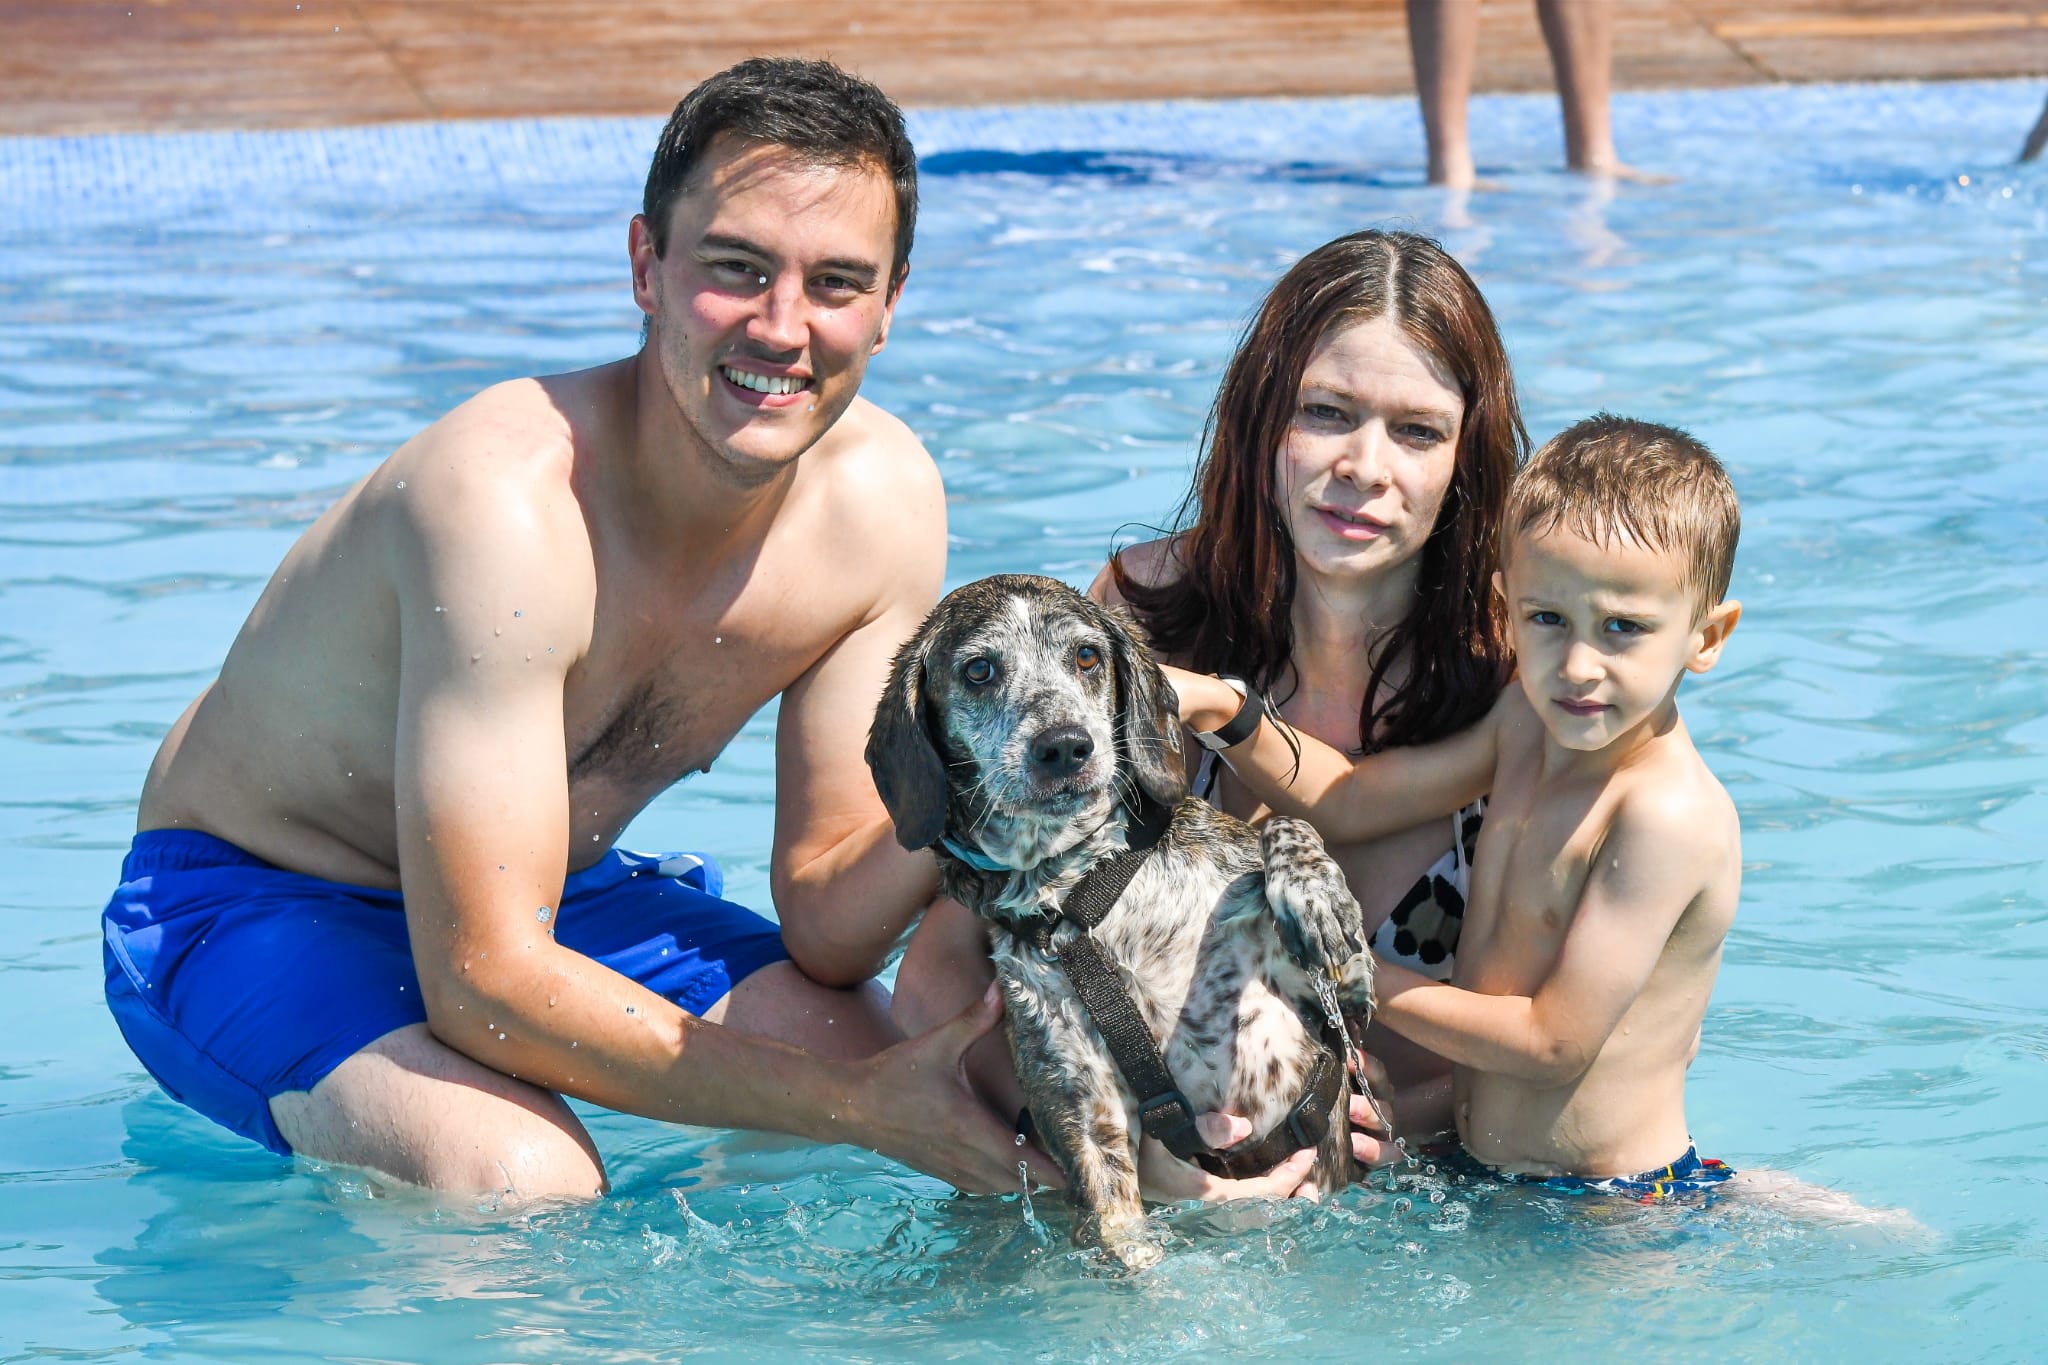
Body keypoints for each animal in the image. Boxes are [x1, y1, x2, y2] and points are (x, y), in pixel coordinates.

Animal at [868, 573, 1376, 1268]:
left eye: (1087, 656)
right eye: (978, 670)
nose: (1064, 745)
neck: (1084, 892)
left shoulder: (1333, 1006)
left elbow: (1283, 827)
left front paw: (1314, 896)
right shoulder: (1085, 1110)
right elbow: (1122, 1240)